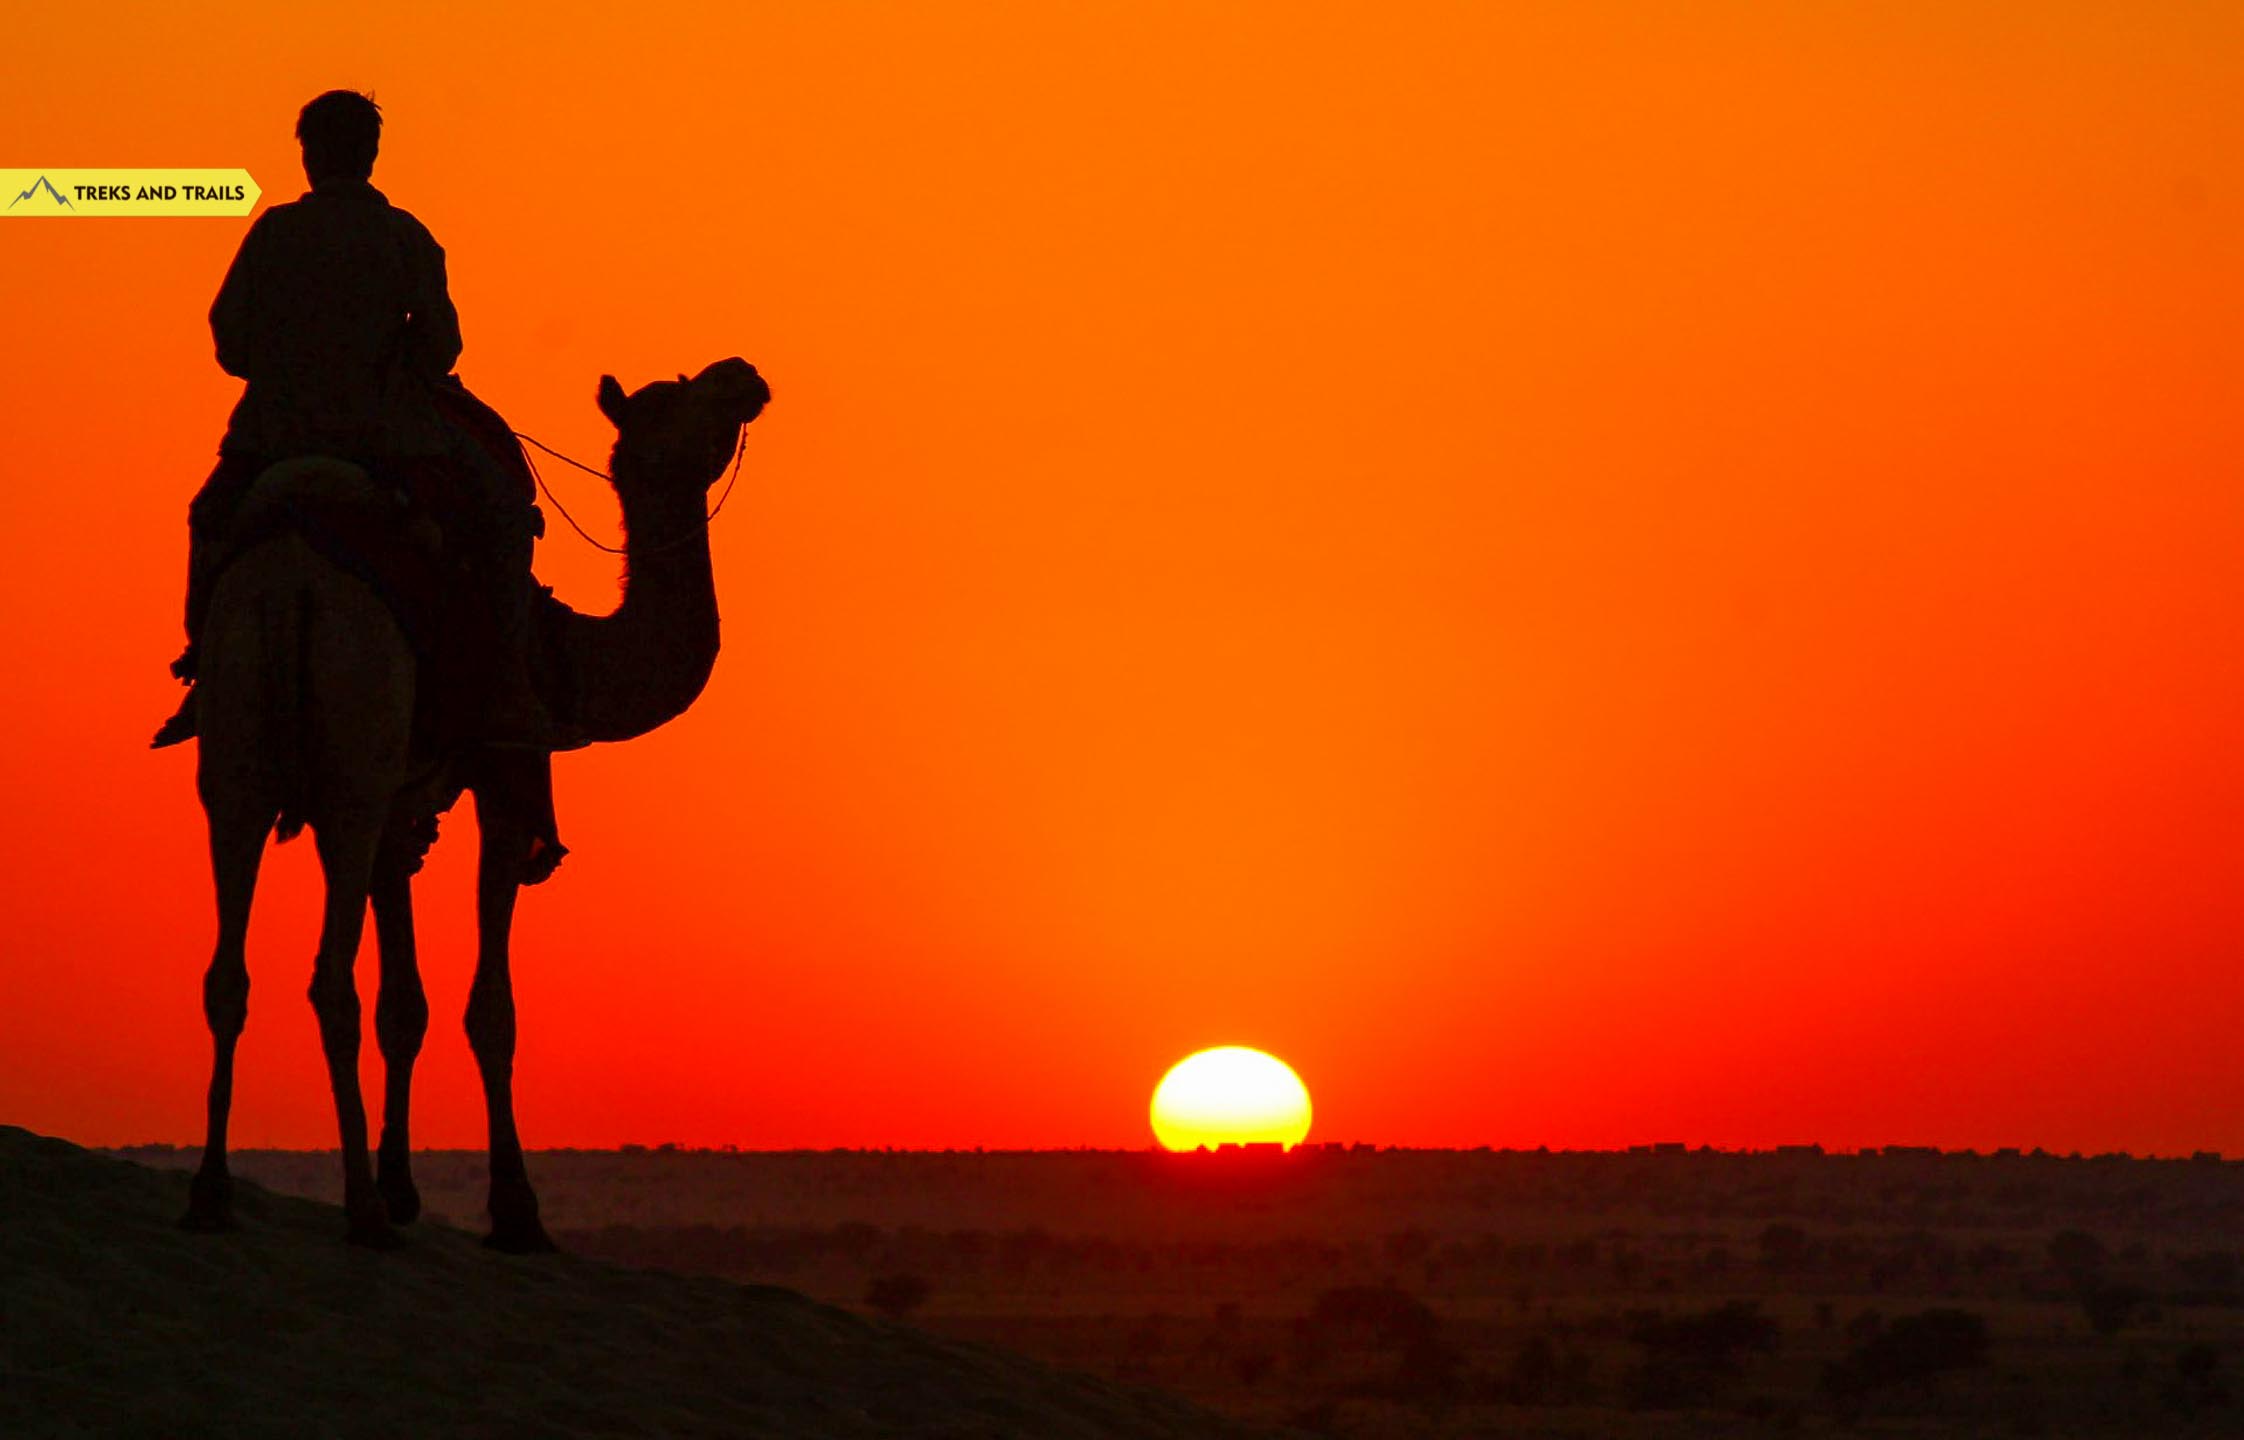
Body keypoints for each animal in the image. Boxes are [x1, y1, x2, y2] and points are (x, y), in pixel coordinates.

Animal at [177, 354, 771, 1238]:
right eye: (679, 402)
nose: (744, 375)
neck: (566, 654)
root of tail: (288, 573)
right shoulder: (503, 775)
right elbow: (490, 1009)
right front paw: (515, 1210)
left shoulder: (402, 809)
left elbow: (404, 1006)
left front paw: (403, 1185)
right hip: (354, 758)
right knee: (329, 979)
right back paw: (359, 1213)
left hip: (235, 753)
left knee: (230, 971)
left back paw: (213, 1193)